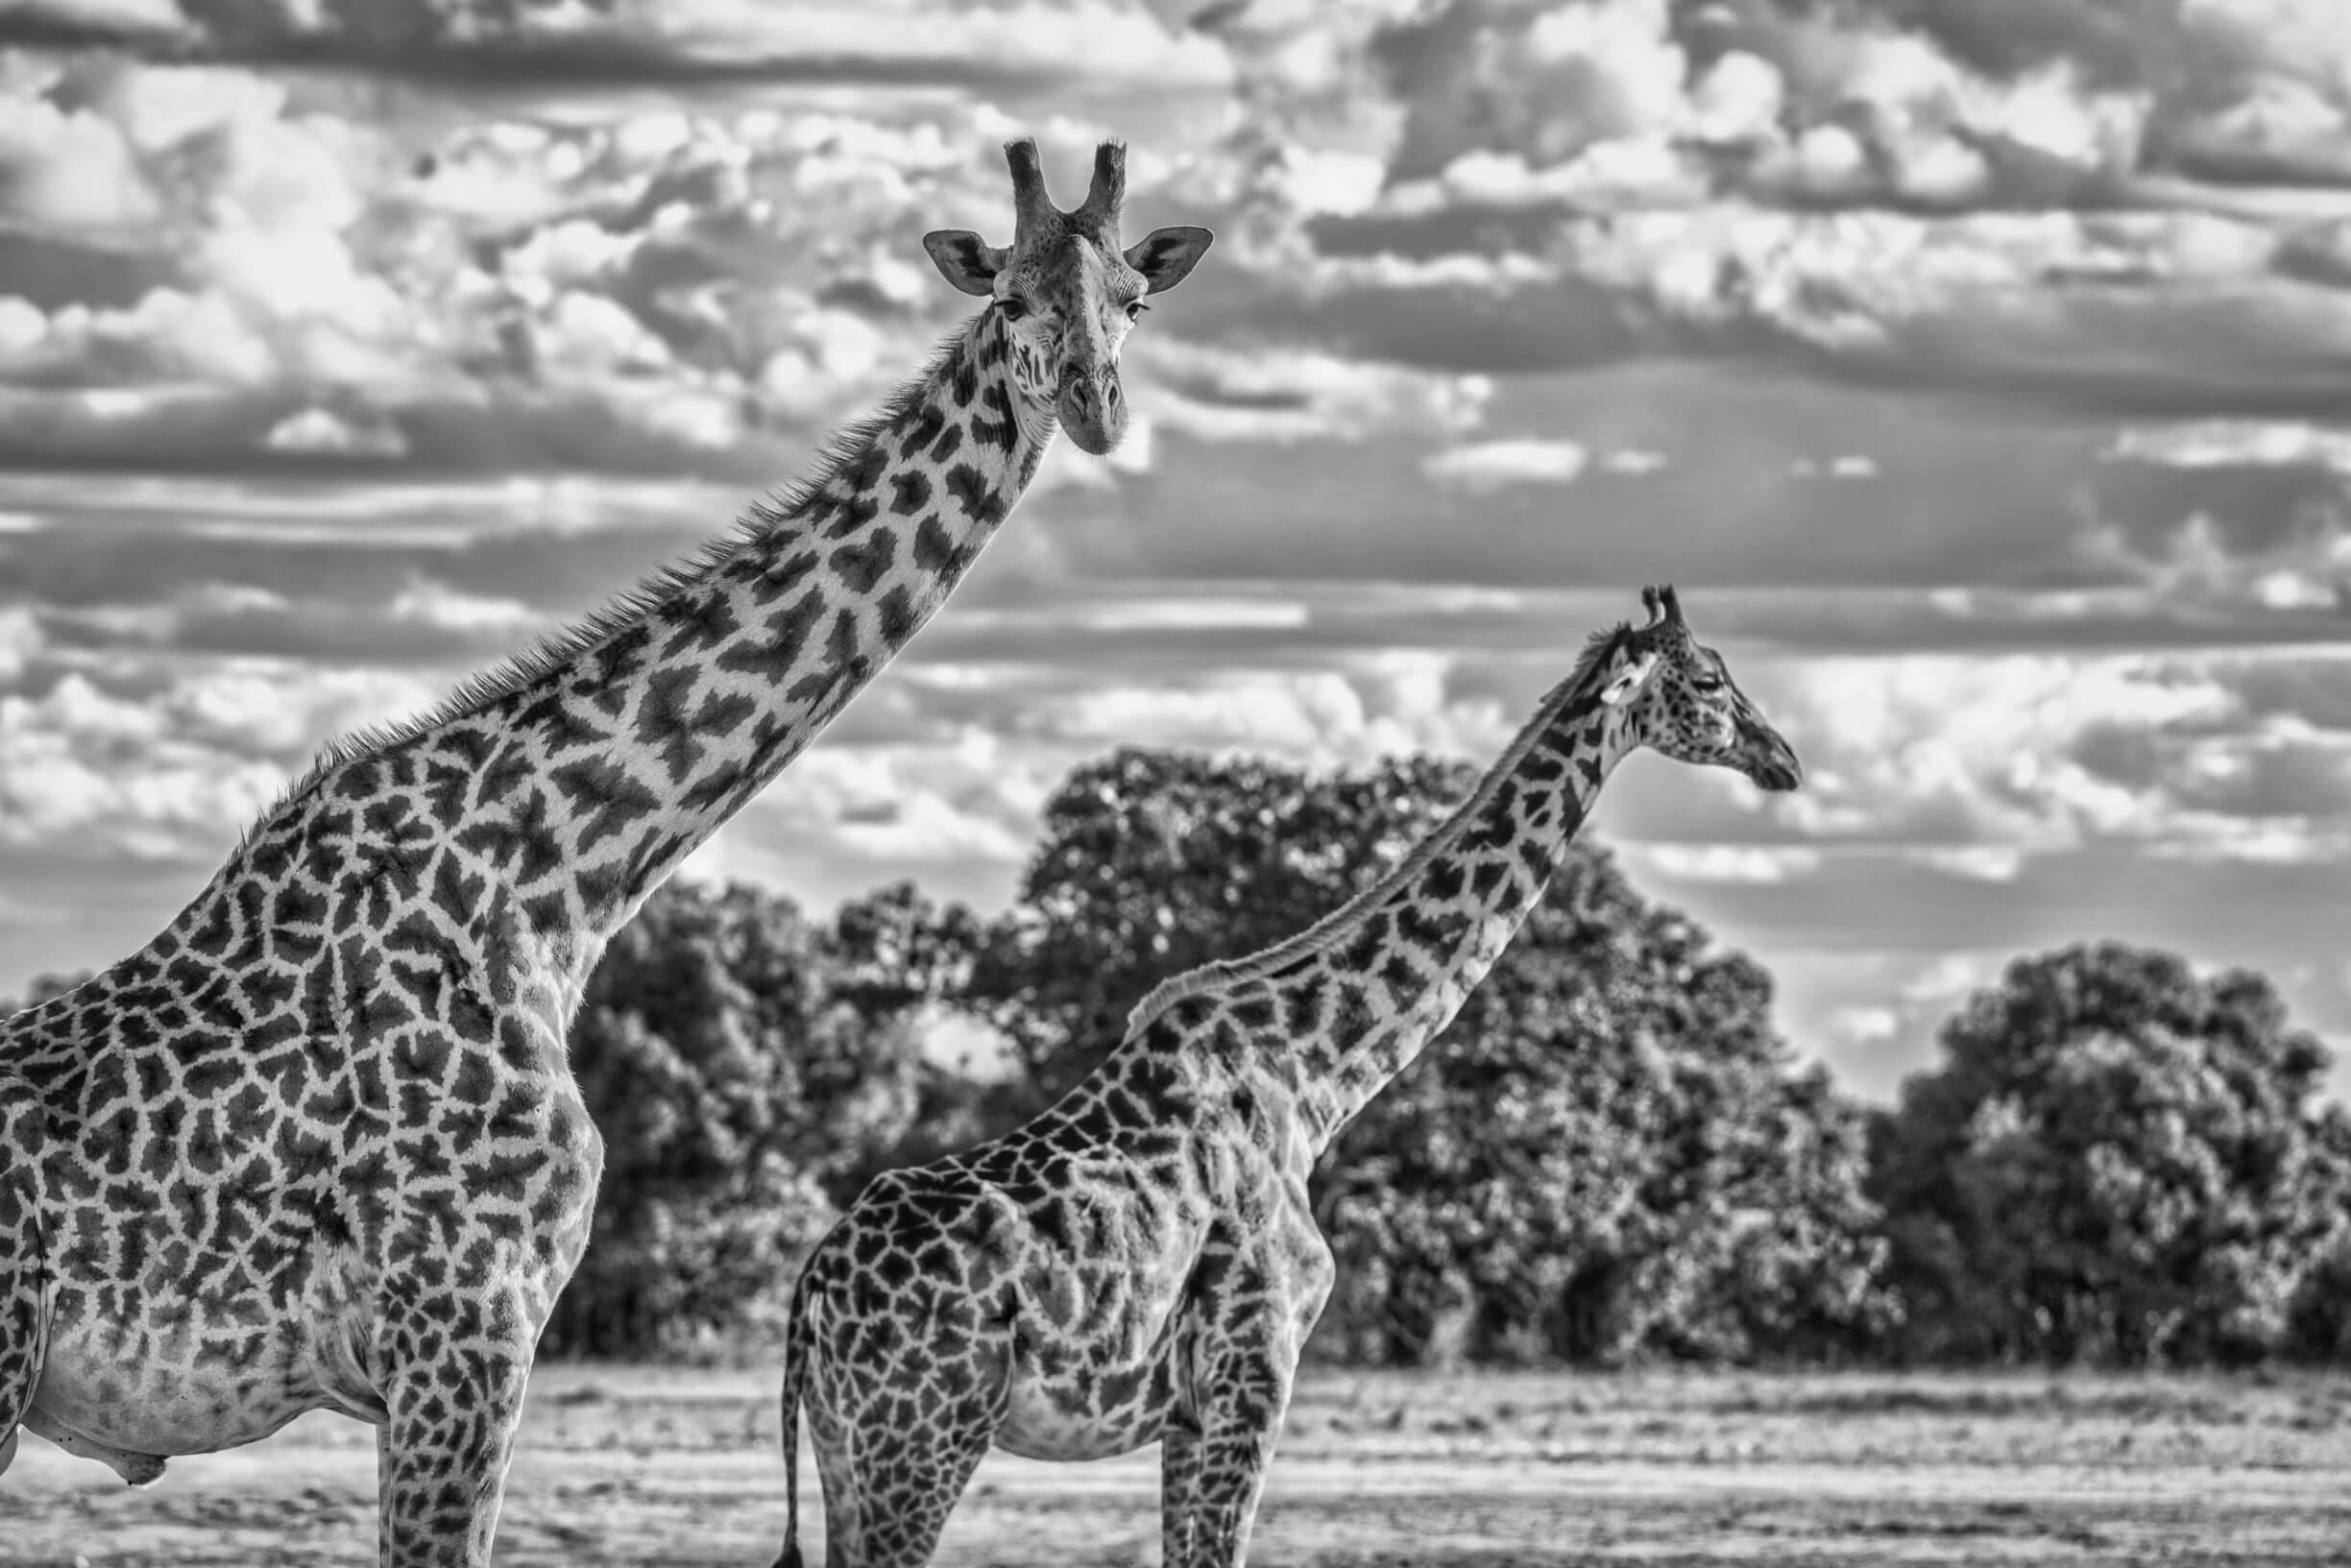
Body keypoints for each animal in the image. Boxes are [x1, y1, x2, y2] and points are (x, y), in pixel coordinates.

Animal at [0, 136, 1210, 1566]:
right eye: (1012, 296)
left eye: (1135, 298)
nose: (1094, 409)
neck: (555, 879)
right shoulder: (465, 1330)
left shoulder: (460, 1344)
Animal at [770, 585, 1803, 1568]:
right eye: (1709, 680)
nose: (1785, 758)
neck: (1313, 1080)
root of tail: (811, 1293)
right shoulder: (1255, 1371)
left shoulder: (1191, 1409)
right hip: (924, 1435)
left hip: (846, 1448)